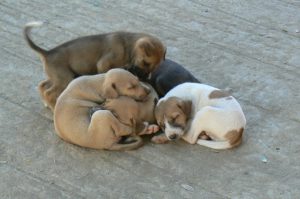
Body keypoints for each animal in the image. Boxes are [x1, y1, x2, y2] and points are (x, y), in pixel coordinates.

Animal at [23, 21, 165, 111]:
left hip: (57, 76)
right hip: (64, 78)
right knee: (49, 92)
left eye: (154, 67)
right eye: (145, 63)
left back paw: (46, 103)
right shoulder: (103, 64)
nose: (145, 79)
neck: (127, 46)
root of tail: (48, 53)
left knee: (42, 85)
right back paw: (53, 108)